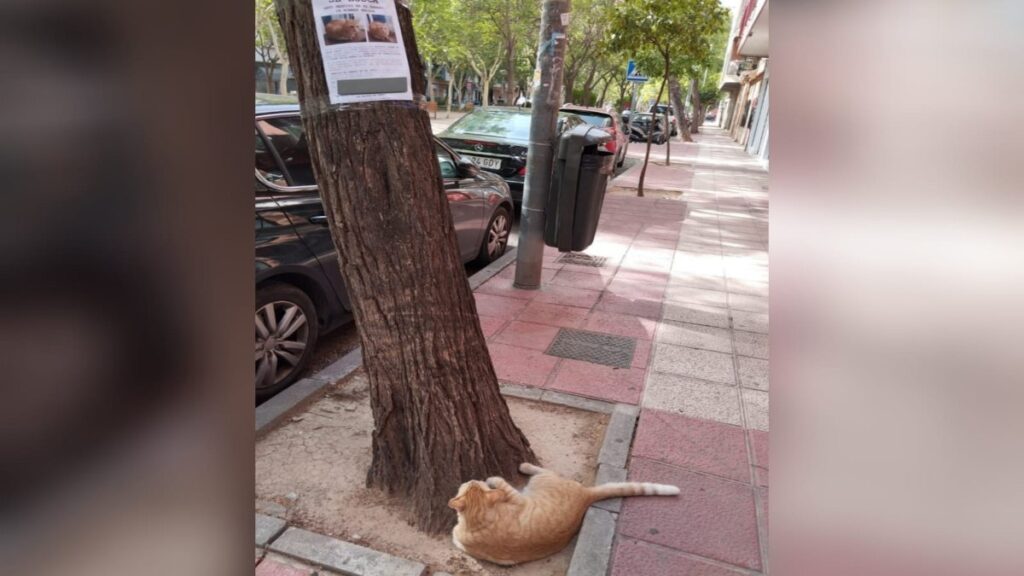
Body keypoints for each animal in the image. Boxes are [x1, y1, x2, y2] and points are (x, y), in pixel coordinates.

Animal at [448, 459, 679, 561]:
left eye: (471, 482)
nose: (472, 477)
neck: (478, 520)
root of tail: (586, 495)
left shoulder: (516, 498)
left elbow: (502, 484)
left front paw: (493, 478)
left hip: (543, 479)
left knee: (543, 469)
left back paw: (525, 465)